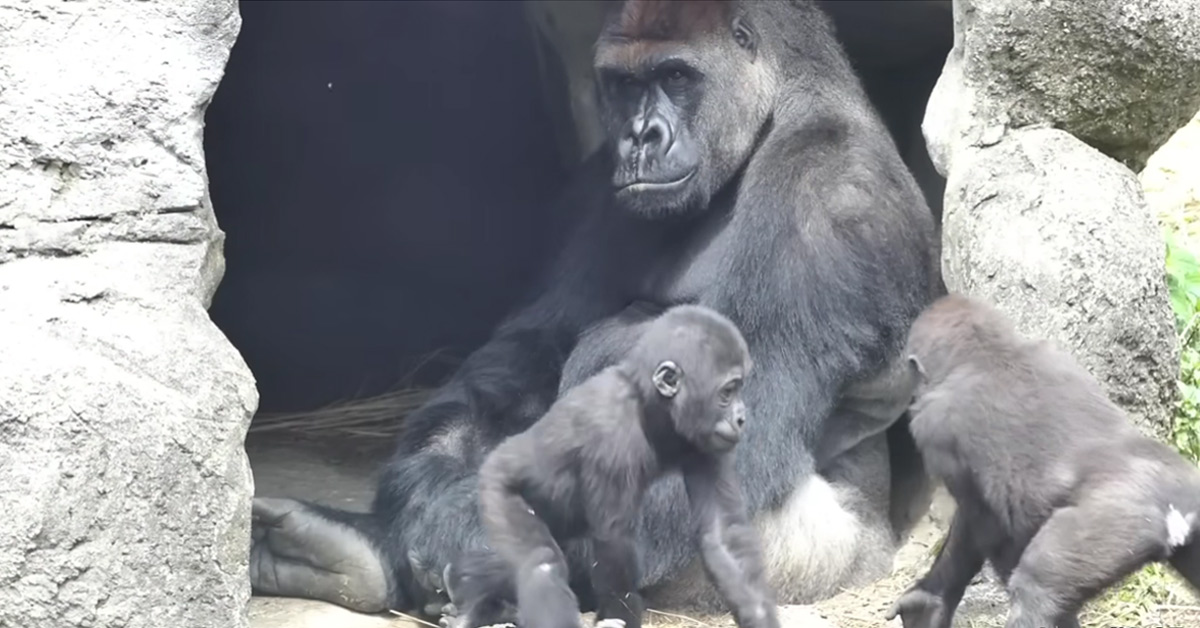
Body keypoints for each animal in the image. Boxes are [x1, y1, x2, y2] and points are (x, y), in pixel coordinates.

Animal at [441, 304, 777, 628]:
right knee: (540, 562)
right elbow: (615, 550)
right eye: (727, 392)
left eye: (738, 388)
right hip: (498, 488)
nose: (741, 417)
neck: (648, 402)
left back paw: (468, 588)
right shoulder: (613, 438)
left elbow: (723, 534)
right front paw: (620, 615)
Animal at [888, 296, 1200, 628]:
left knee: (1035, 590)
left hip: (1116, 524)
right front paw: (928, 600)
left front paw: (932, 601)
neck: (988, 352)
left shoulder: (935, 429)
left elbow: (983, 526)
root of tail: (1174, 503)